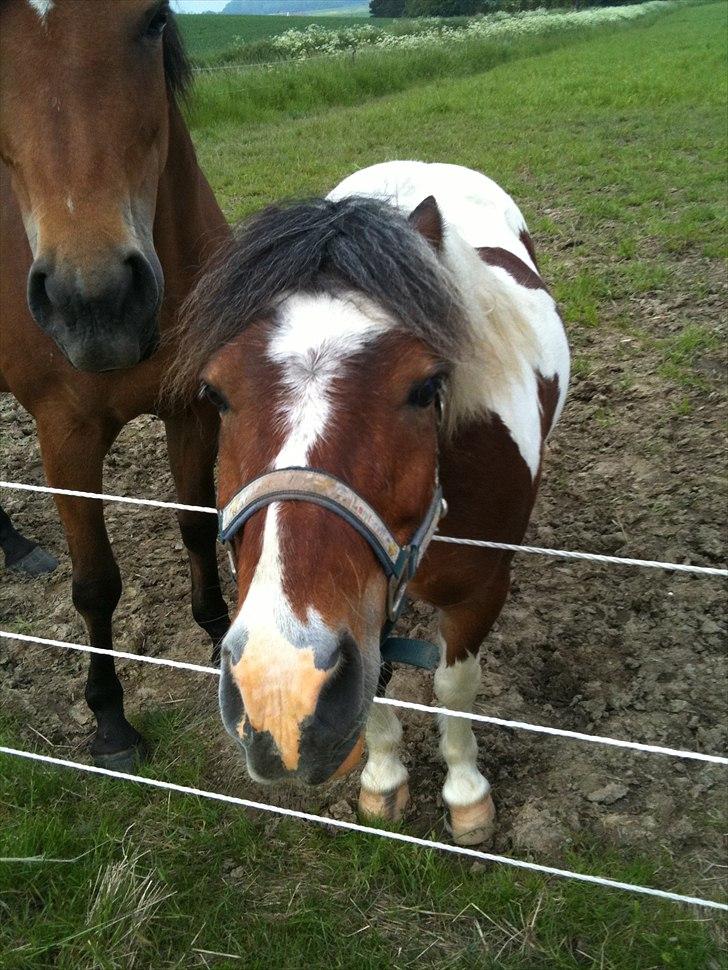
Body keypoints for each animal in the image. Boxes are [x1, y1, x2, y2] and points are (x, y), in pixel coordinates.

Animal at [0, 3, 228, 768]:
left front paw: (220, 639)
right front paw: (110, 719)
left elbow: (197, 524)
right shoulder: (64, 438)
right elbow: (96, 584)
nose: (96, 303)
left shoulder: (191, 409)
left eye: (153, 19)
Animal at [175, 163, 568, 844]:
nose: (280, 689)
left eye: (427, 387)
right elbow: (378, 691)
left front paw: (467, 796)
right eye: (215, 393)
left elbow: (453, 687)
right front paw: (384, 779)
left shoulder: (482, 590)